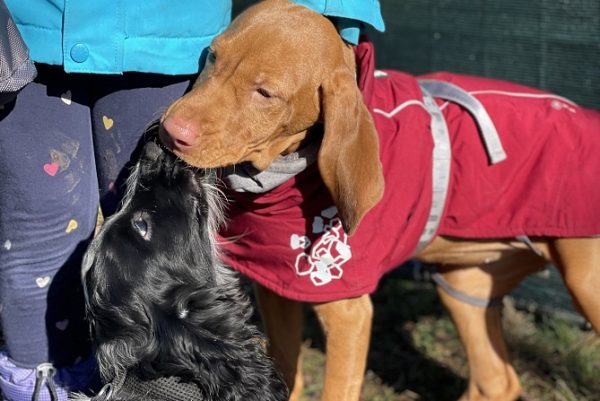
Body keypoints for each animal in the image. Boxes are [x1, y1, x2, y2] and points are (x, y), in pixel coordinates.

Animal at [159, 1, 600, 398]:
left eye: (265, 93)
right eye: (212, 56)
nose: (169, 131)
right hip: (467, 283)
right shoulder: (277, 291)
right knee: (498, 381)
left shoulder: (348, 313)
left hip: (585, 284)